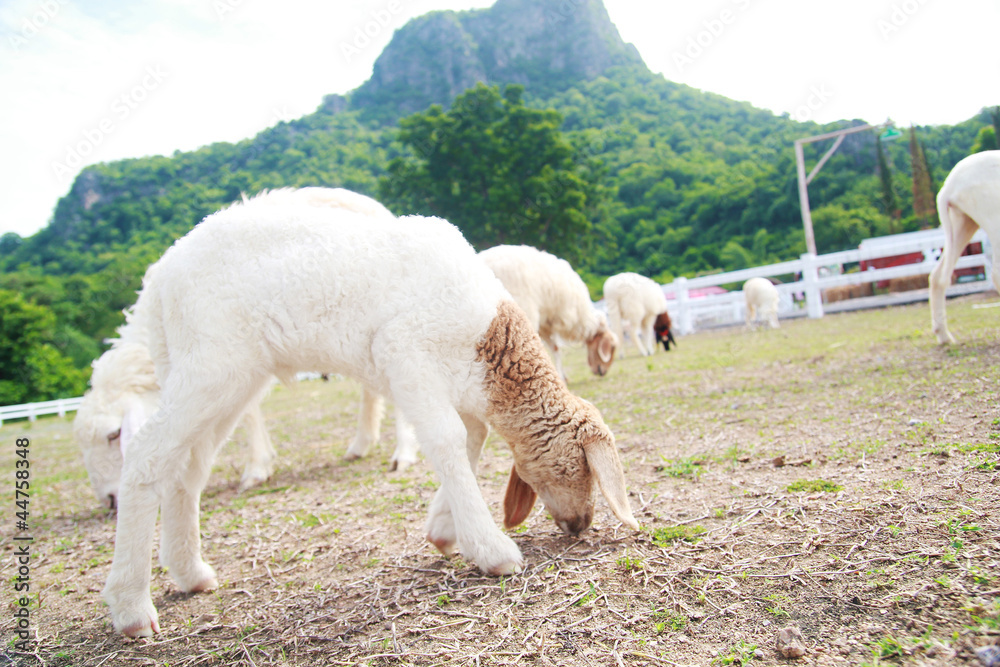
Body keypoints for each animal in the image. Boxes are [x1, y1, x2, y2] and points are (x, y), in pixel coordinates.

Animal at [930, 151, 1000, 344]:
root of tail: (949, 186)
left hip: (962, 221)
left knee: (937, 276)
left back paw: (944, 337)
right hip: (992, 217)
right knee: (997, 274)